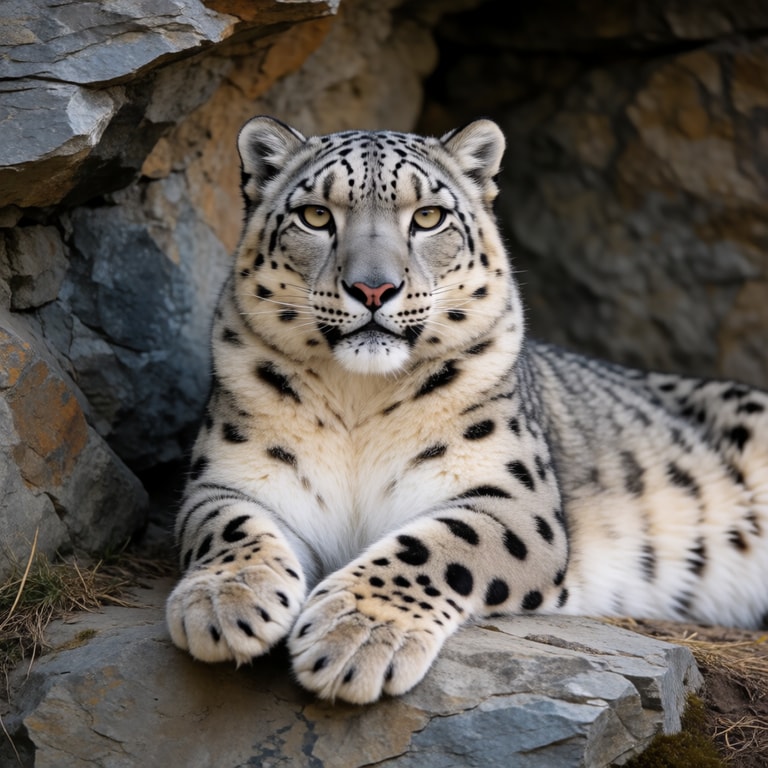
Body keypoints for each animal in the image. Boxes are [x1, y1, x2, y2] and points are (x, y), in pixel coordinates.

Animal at [166, 115, 768, 705]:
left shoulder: (513, 500)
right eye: (316, 215)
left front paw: (355, 635)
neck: (358, 399)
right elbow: (231, 526)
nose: (373, 288)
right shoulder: (230, 478)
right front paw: (223, 602)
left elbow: (436, 546)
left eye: (428, 216)